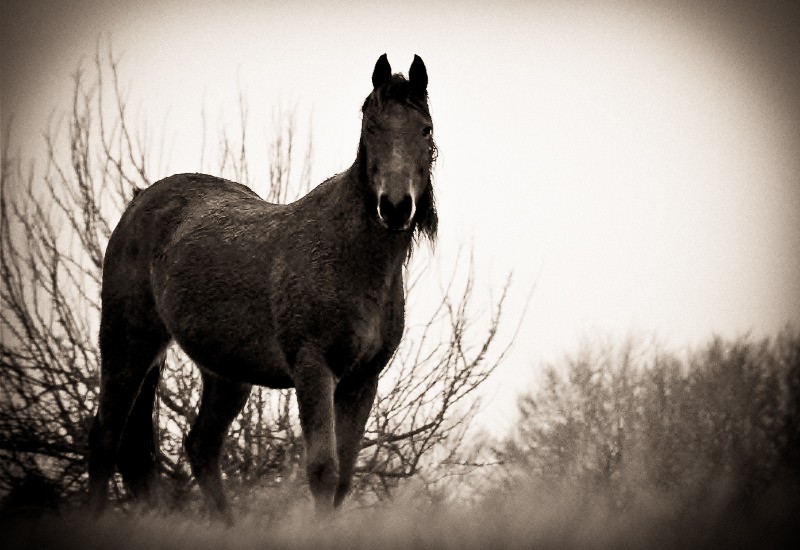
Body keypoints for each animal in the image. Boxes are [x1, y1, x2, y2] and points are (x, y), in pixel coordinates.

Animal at [89, 54, 438, 524]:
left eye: (425, 129)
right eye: (371, 126)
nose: (396, 207)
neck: (350, 258)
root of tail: (139, 202)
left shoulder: (361, 382)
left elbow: (344, 479)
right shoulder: (314, 369)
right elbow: (323, 470)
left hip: (226, 375)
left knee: (200, 447)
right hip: (128, 345)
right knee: (106, 441)